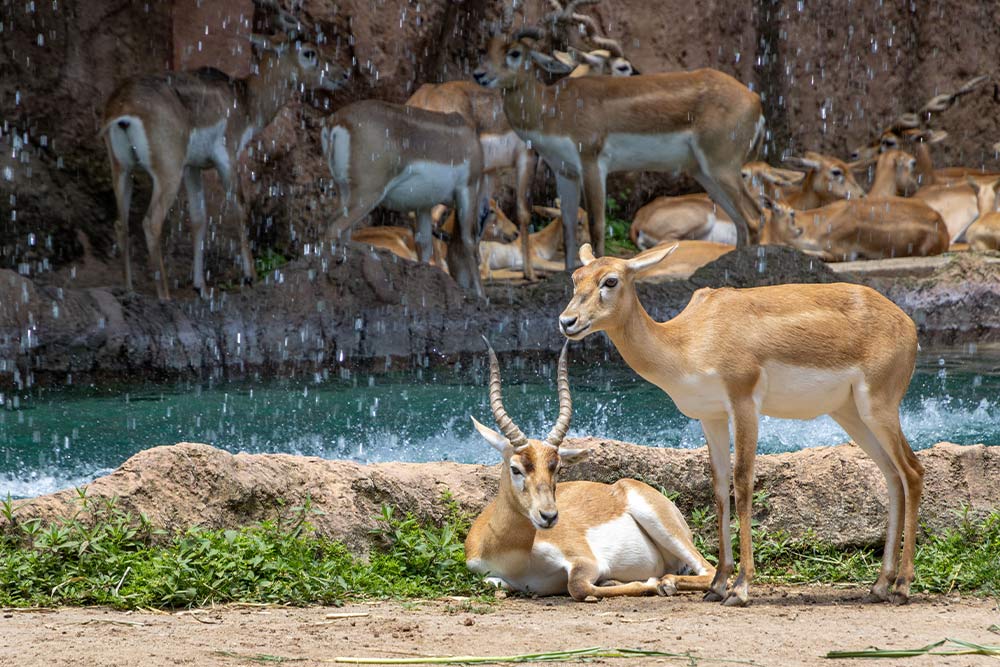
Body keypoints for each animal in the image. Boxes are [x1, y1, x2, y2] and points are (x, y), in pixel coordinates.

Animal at [99, 0, 346, 300]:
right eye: (309, 52)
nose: (343, 74)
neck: (245, 99)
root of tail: (124, 110)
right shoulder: (226, 157)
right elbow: (239, 207)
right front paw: (250, 276)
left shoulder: (192, 167)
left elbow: (199, 218)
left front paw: (201, 287)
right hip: (167, 172)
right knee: (151, 222)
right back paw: (164, 295)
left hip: (122, 169)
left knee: (121, 223)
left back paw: (129, 289)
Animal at [318, 98, 486, 294]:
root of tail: (335, 121)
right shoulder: (467, 190)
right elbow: (468, 243)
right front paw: (480, 295)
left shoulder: (423, 205)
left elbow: (425, 244)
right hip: (367, 195)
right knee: (333, 228)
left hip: (343, 190)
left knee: (342, 233)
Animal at [464, 340, 716, 600]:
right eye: (515, 468)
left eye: (558, 469)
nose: (549, 516)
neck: (513, 555)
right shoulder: (489, 576)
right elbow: (498, 584)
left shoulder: (586, 561)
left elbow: (578, 586)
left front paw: (650, 583)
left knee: (710, 571)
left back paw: (667, 582)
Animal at [476, 3, 764, 268]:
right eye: (485, 49)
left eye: (515, 52)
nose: (479, 74)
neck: (555, 106)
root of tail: (754, 98)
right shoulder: (564, 171)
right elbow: (568, 226)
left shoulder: (592, 164)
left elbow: (596, 224)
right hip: (703, 172)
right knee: (742, 220)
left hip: (721, 167)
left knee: (754, 217)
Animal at [560, 243, 924, 608]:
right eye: (575, 277)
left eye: (610, 280)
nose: (567, 321)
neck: (689, 341)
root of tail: (908, 324)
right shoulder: (712, 416)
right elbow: (720, 487)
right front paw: (718, 584)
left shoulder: (744, 402)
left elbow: (744, 481)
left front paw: (740, 587)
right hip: (850, 413)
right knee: (892, 476)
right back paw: (879, 585)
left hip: (879, 407)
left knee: (912, 471)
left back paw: (902, 586)